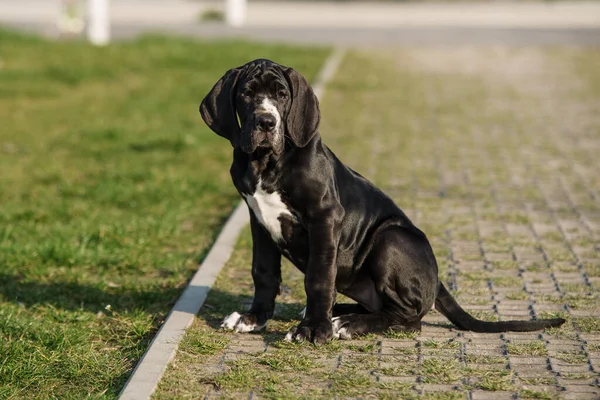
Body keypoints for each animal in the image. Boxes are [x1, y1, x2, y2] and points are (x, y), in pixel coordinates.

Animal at [199, 58, 564, 344]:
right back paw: (339, 313)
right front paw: (254, 318)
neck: (266, 163)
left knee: (409, 318)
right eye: (246, 94)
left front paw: (313, 329)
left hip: (390, 238)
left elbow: (318, 277)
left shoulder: (325, 217)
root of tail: (437, 280)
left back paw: (346, 323)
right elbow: (263, 272)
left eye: (282, 95)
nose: (266, 121)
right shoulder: (258, 219)